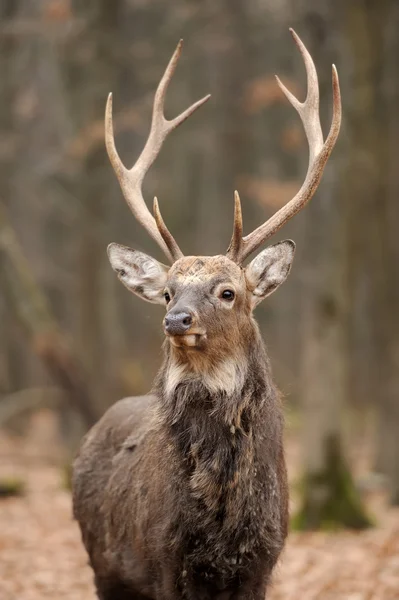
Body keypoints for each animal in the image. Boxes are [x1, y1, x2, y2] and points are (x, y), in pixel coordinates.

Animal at [72, 29, 340, 600]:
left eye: (228, 292)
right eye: (168, 293)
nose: (177, 321)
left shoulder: (264, 559)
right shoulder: (163, 557)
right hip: (102, 563)